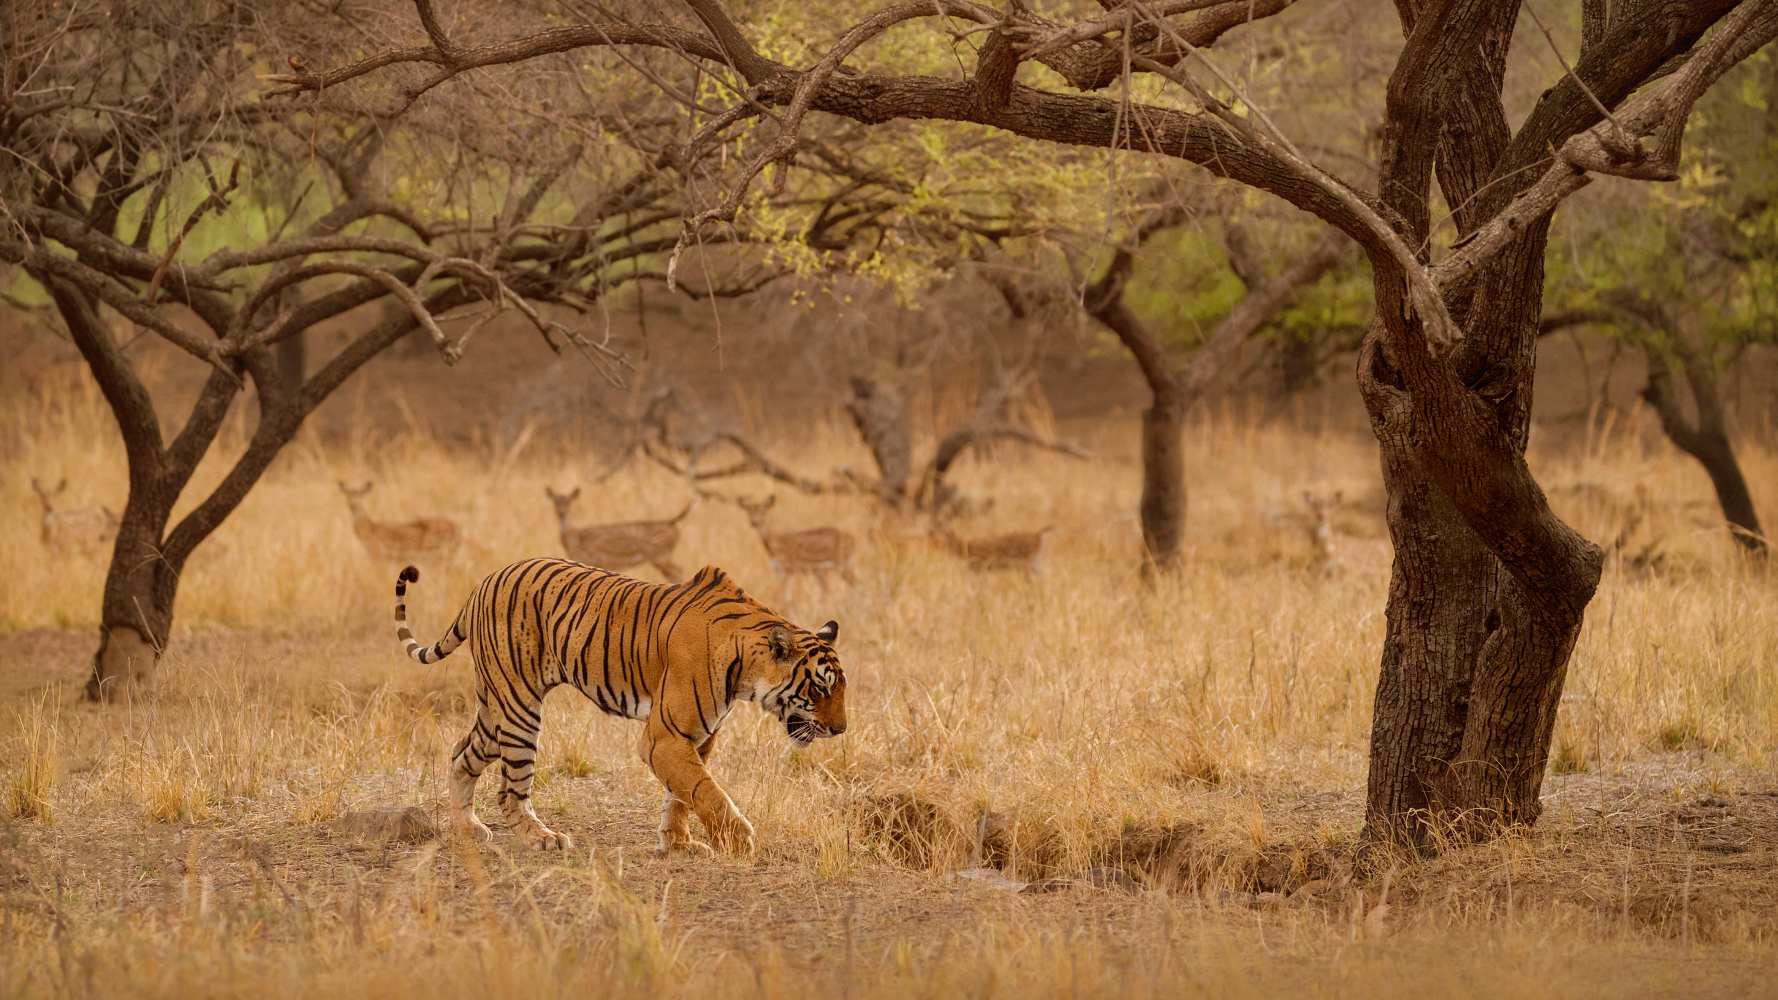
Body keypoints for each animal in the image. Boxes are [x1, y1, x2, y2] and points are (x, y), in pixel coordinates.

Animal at [393, 557, 846, 855]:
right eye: (820, 688)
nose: (840, 729)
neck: (745, 672)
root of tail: (481, 584)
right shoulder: (665, 736)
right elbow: (706, 790)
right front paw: (738, 839)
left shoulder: (697, 737)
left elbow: (683, 794)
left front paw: (678, 843)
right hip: (519, 708)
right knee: (510, 790)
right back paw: (543, 838)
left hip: (496, 708)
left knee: (460, 755)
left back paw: (468, 827)